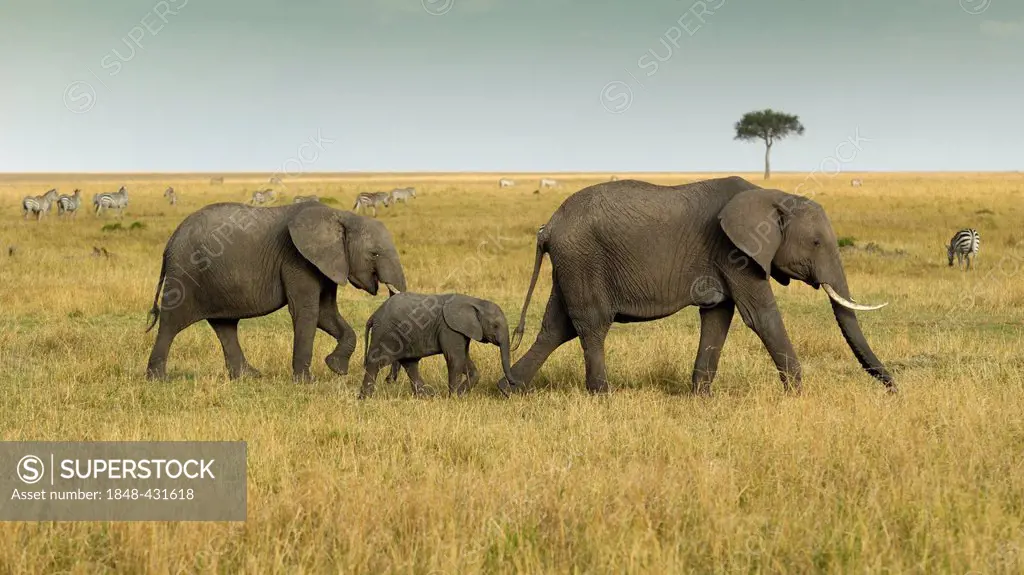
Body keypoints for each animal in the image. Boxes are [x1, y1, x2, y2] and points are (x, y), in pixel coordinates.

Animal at [145, 201, 407, 380]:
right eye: (374, 254)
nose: (390, 379)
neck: (340, 216)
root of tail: (169, 242)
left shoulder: (327, 264)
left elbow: (326, 314)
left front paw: (336, 368)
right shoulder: (297, 260)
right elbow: (307, 312)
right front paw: (306, 382)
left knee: (225, 325)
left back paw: (248, 376)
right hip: (185, 274)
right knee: (171, 323)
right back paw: (158, 379)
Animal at [362, 292, 520, 396]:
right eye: (495, 326)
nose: (513, 383)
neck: (475, 302)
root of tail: (374, 315)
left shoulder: (462, 330)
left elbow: (464, 359)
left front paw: (460, 394)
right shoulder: (449, 328)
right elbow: (455, 359)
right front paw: (454, 398)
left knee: (410, 364)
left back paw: (426, 396)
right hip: (386, 333)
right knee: (375, 362)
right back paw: (365, 398)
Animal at [499, 175, 892, 392]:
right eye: (815, 243)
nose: (893, 389)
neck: (770, 194)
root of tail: (548, 227)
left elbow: (718, 317)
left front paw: (701, 397)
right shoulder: (735, 251)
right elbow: (761, 317)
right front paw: (797, 393)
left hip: (570, 264)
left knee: (557, 327)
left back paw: (509, 389)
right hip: (583, 259)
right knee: (592, 325)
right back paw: (602, 396)